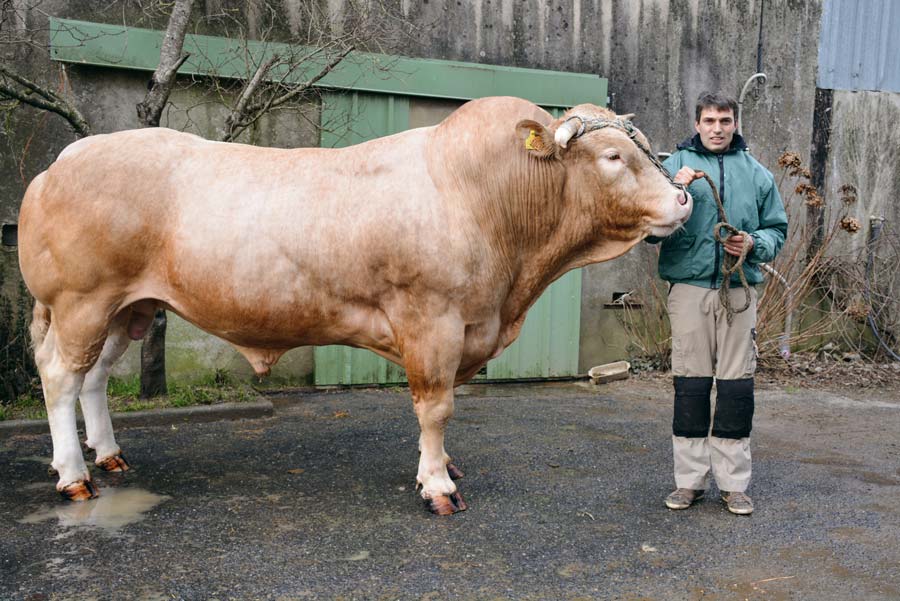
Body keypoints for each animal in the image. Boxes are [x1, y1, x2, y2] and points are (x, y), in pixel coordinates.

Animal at [19, 96, 688, 512]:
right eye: (613, 157)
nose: (684, 198)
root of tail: (64, 160)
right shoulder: (431, 320)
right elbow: (435, 408)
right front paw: (437, 484)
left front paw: (443, 467)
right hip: (81, 300)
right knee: (60, 375)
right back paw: (73, 475)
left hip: (125, 308)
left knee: (94, 378)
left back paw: (108, 456)